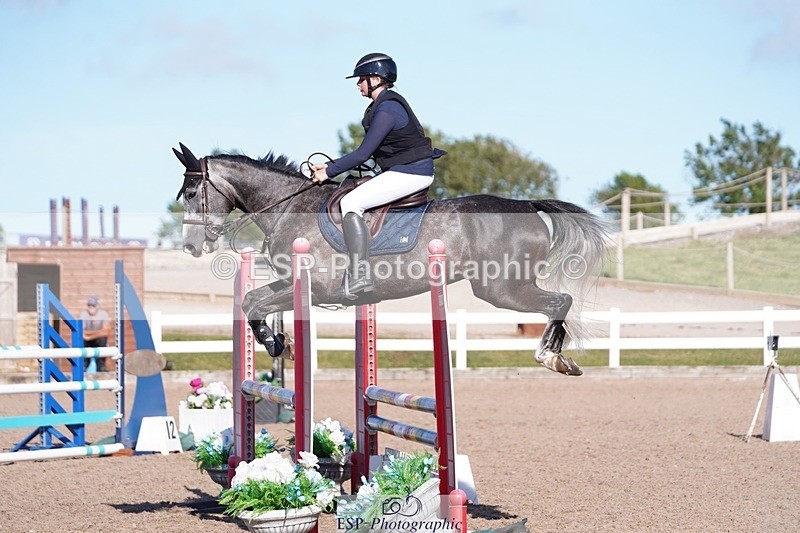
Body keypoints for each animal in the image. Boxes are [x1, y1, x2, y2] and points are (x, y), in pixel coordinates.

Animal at [173, 143, 607, 376]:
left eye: (192, 194)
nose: (191, 246)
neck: (289, 205)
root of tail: (528, 205)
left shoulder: (316, 289)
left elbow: (256, 304)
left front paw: (278, 345)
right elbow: (252, 301)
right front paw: (280, 344)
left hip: (502, 289)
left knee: (560, 302)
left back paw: (552, 357)